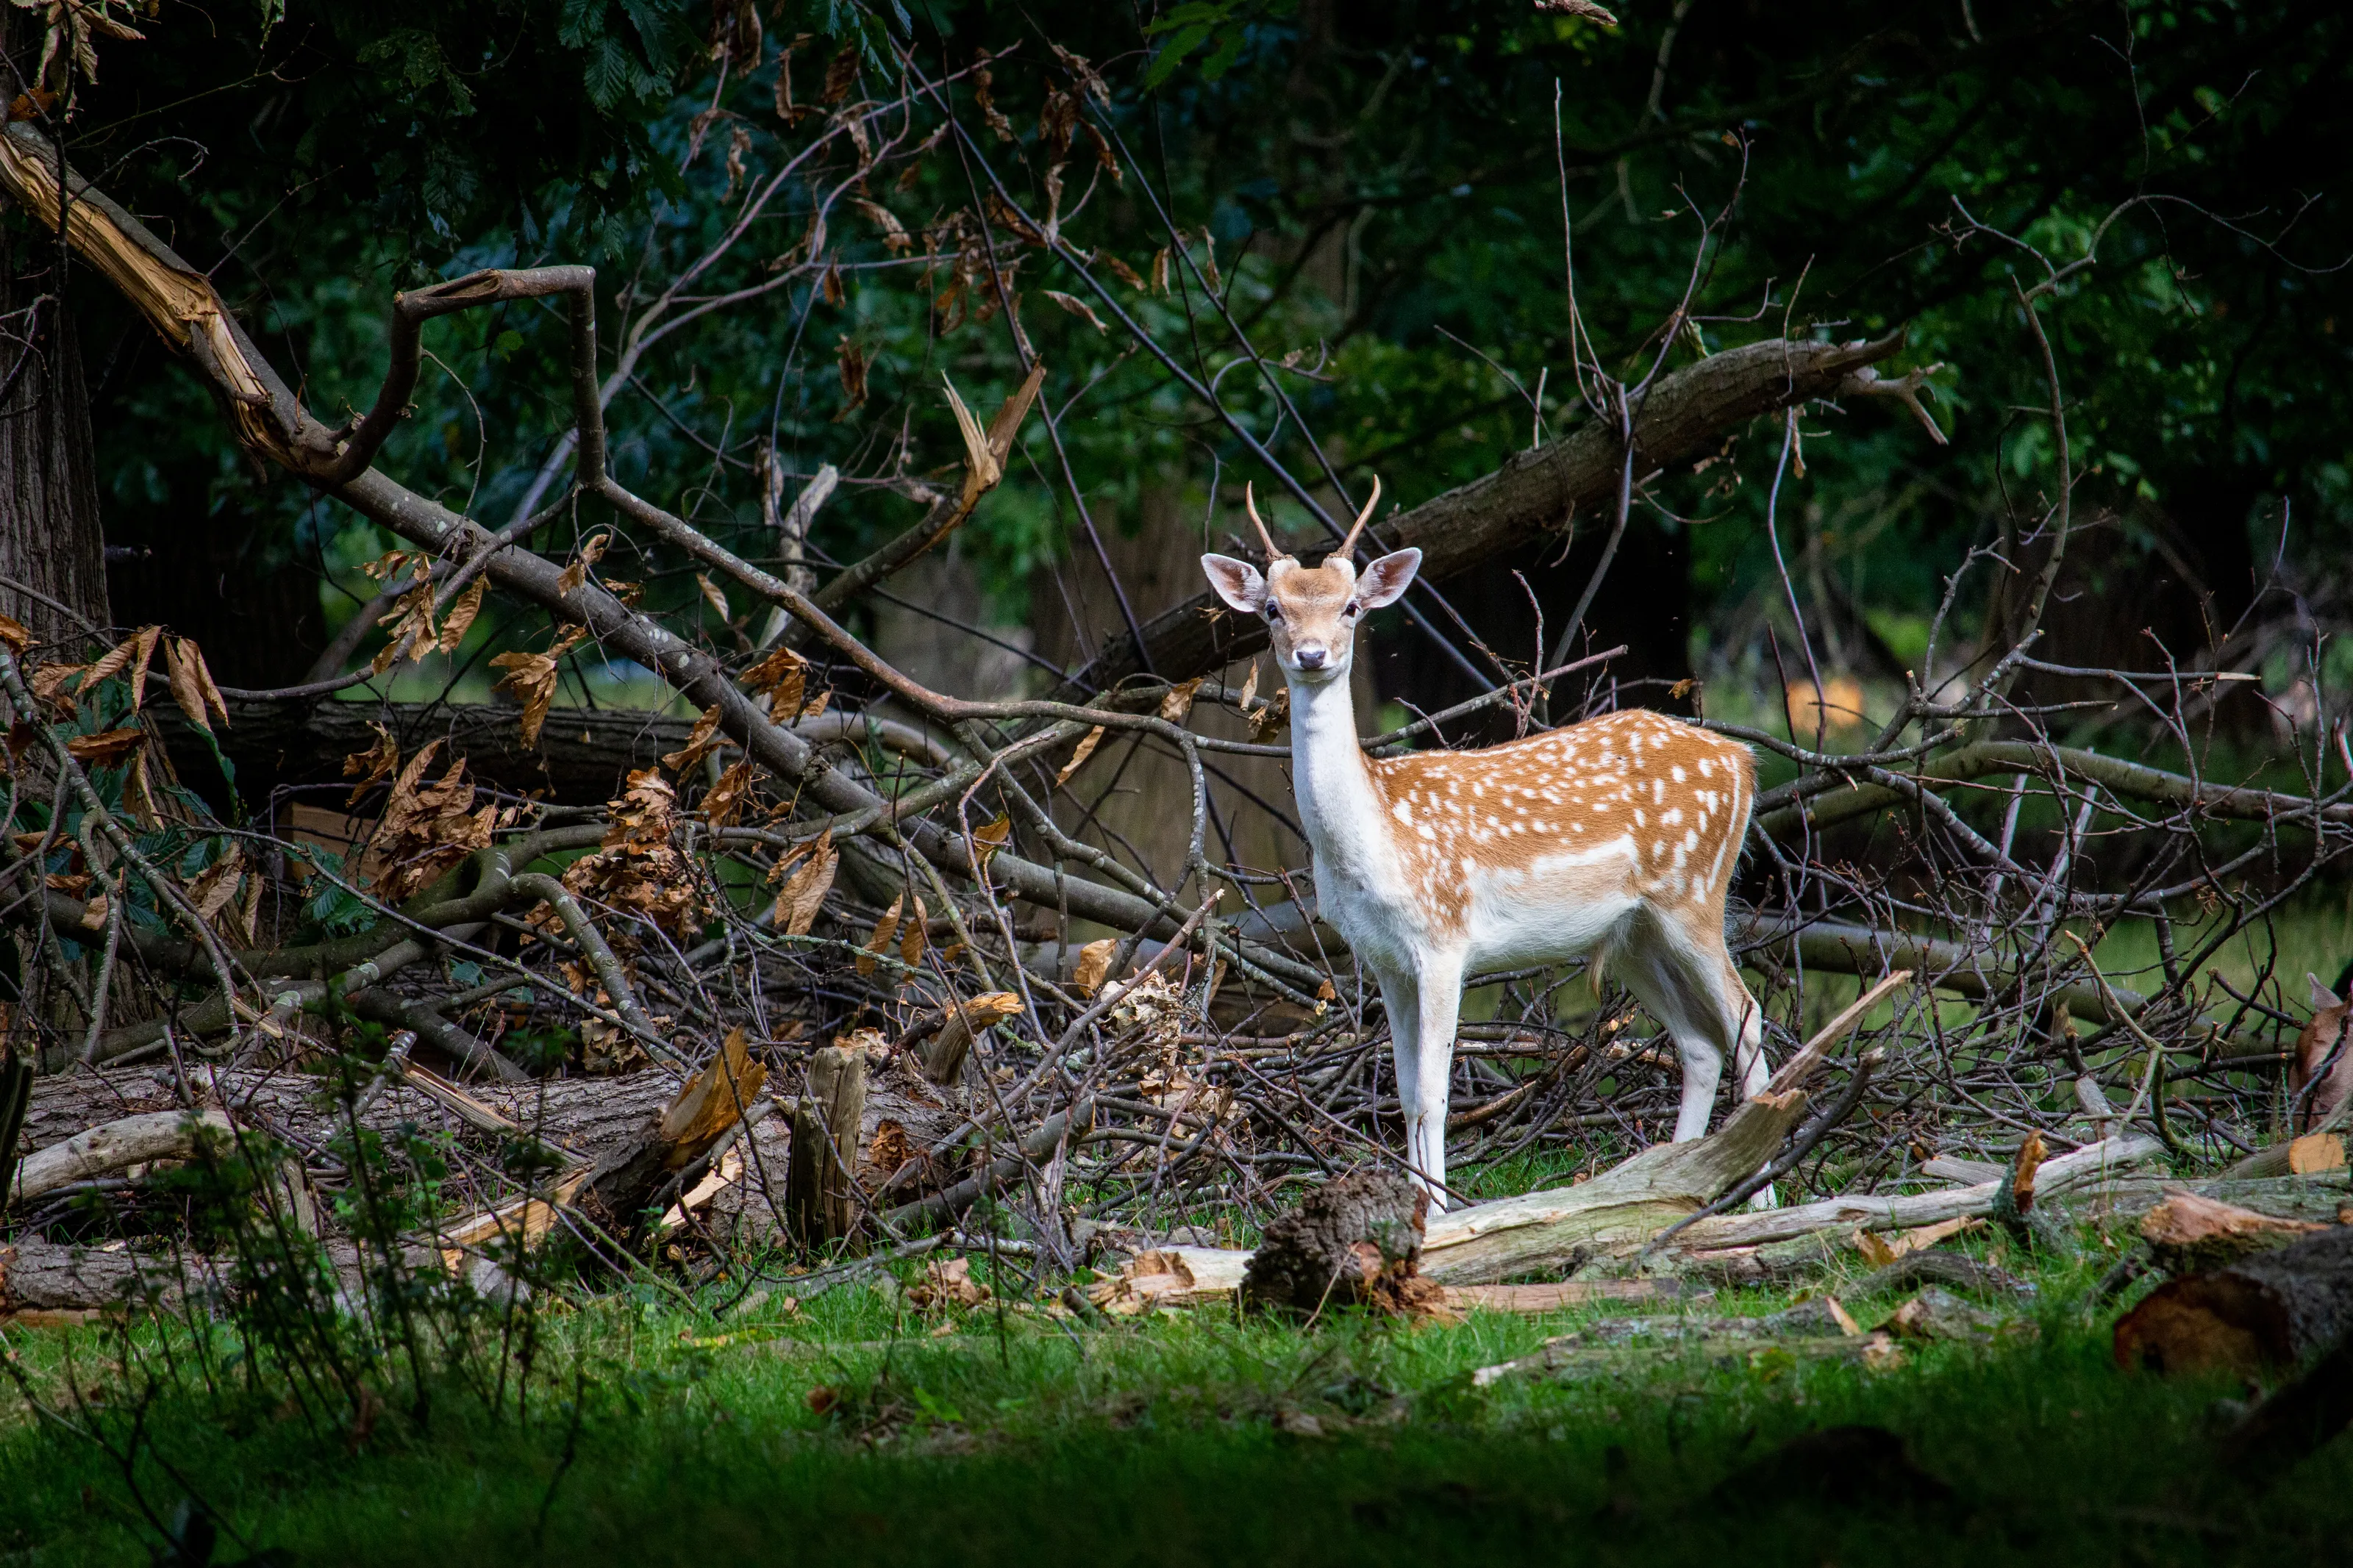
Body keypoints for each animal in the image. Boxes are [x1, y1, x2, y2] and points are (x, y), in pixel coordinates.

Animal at [1201, 480, 1768, 1207]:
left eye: (1351, 606)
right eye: (1274, 609)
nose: (1311, 653)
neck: (1375, 840)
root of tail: (1743, 761)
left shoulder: (1445, 940)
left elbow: (1433, 1094)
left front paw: (1441, 1208)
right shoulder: (1384, 959)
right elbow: (1403, 1093)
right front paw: (1415, 1203)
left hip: (1693, 893)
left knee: (1747, 1017)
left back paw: (1760, 1189)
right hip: (1633, 932)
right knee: (1699, 1043)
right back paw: (1672, 1182)